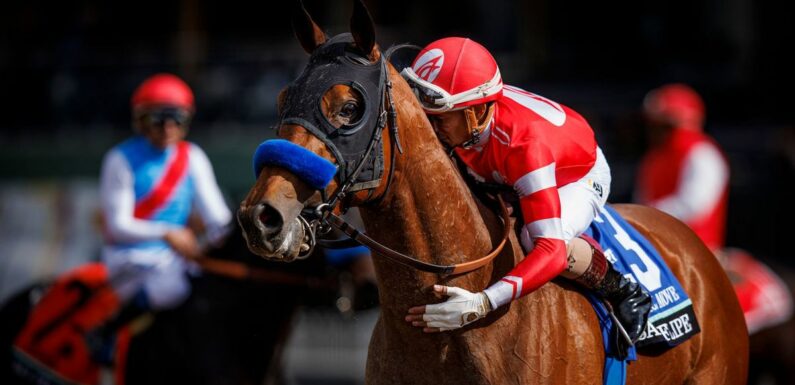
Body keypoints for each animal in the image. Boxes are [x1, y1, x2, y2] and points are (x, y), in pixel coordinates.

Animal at [235, 1, 748, 382]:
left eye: (348, 108)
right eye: (283, 99)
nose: (262, 217)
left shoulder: (531, 155)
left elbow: (549, 248)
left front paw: (462, 308)